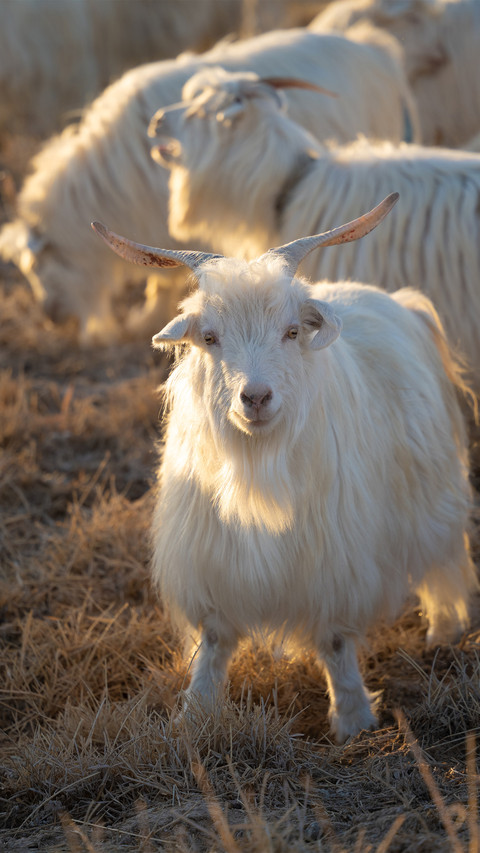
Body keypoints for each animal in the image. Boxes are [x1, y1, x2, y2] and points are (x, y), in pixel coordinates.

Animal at [92, 194, 476, 742]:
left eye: (292, 332)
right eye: (210, 336)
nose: (255, 397)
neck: (258, 467)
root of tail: (400, 300)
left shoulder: (333, 562)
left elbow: (335, 641)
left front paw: (352, 720)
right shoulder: (213, 559)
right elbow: (215, 640)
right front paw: (196, 713)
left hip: (435, 498)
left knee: (442, 562)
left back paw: (443, 633)